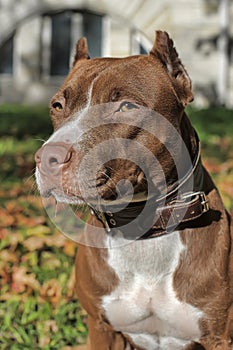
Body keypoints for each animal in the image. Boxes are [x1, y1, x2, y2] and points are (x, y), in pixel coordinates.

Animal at [35, 31, 233, 348]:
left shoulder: (219, 336)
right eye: (57, 106)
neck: (143, 229)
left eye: (127, 106)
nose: (48, 158)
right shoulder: (101, 328)